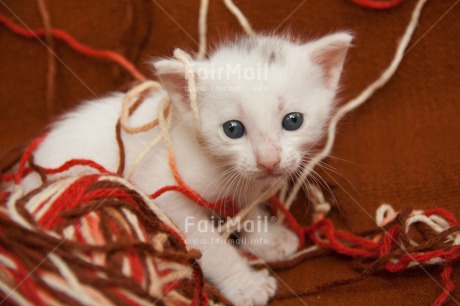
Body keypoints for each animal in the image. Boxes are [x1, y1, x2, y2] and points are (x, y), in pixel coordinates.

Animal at [20, 32, 352, 306]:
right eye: (233, 129)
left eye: (293, 121)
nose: (268, 160)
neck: (215, 162)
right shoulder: (165, 192)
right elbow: (211, 246)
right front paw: (246, 285)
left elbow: (248, 208)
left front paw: (268, 240)